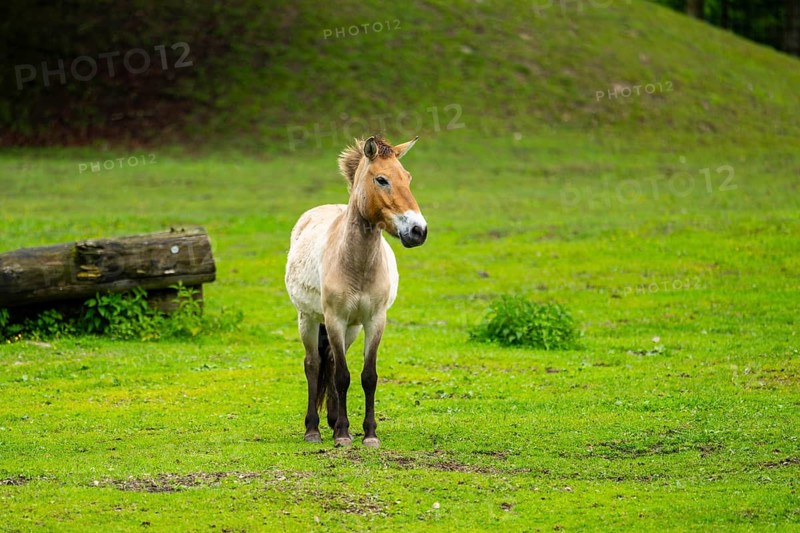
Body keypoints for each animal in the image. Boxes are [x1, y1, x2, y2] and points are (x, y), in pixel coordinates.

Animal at [284, 136, 427, 448]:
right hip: (309, 319)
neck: (356, 265)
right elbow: (341, 376)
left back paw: (331, 420)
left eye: (408, 178)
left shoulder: (374, 321)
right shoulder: (334, 319)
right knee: (313, 364)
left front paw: (369, 434)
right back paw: (313, 429)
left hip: (351, 328)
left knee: (331, 361)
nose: (418, 230)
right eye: (382, 179)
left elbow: (367, 376)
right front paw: (343, 435)